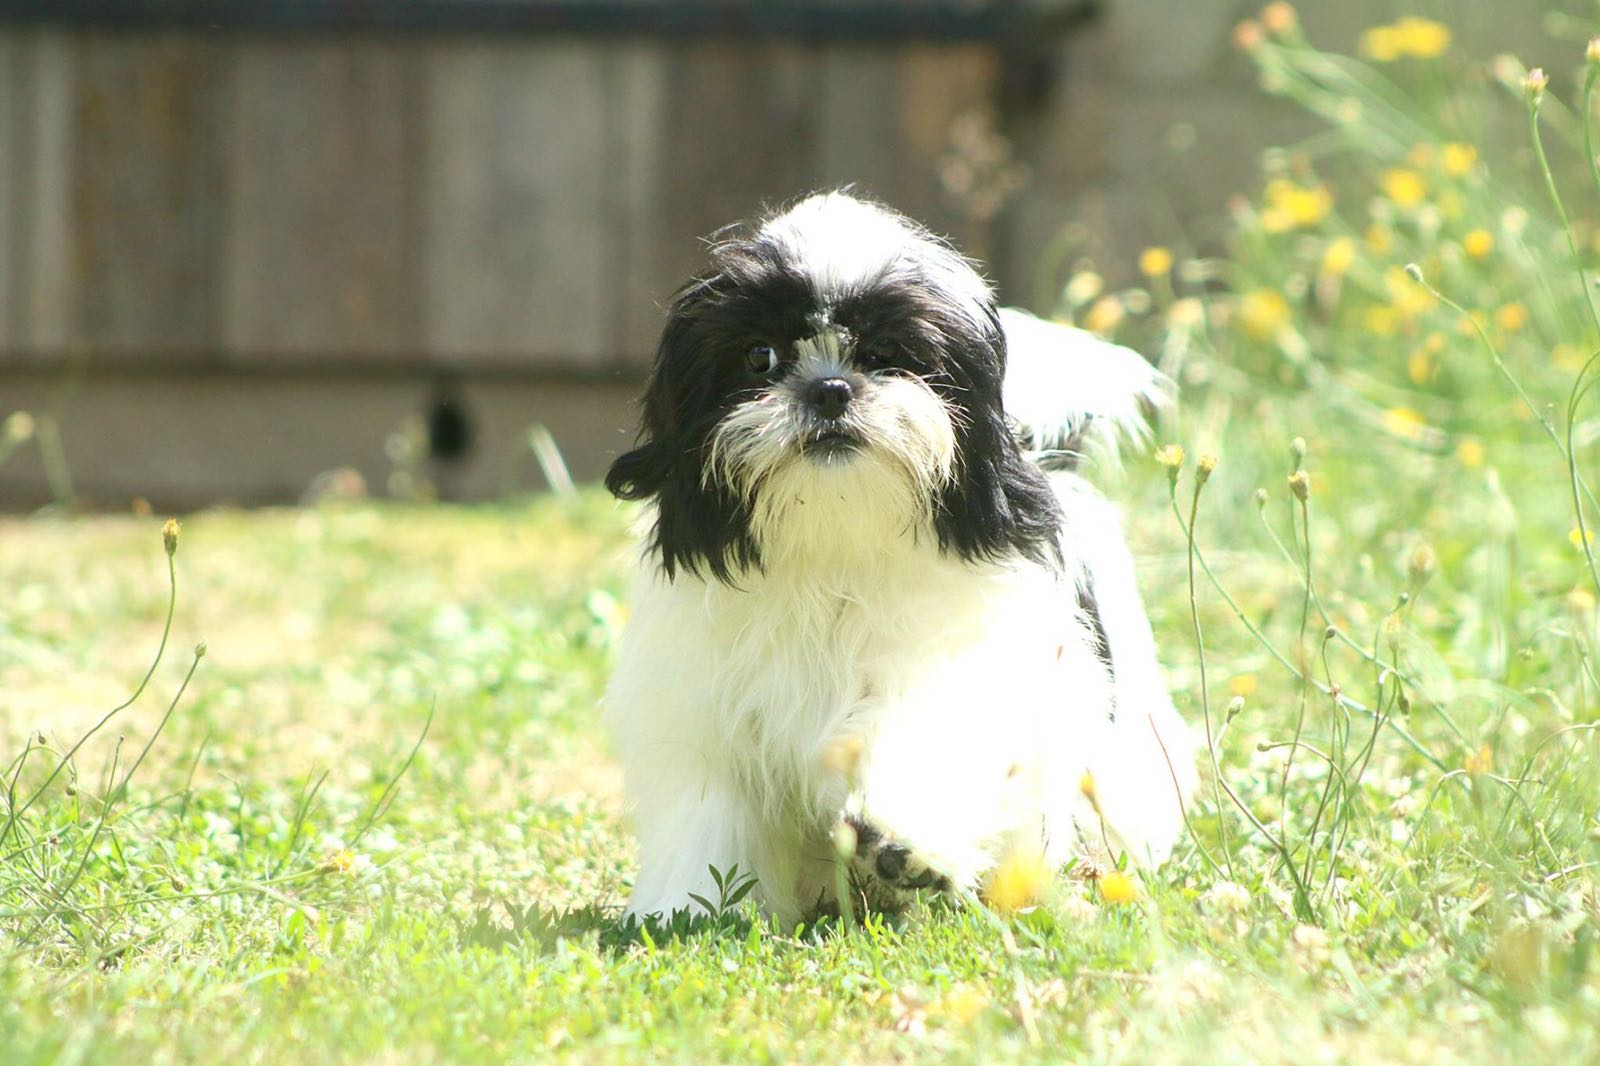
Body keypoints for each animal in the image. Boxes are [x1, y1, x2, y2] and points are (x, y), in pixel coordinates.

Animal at [604, 191, 1196, 921]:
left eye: (888, 352)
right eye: (760, 358)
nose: (829, 389)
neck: (835, 544)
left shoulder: (968, 655)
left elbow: (929, 727)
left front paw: (905, 840)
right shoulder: (700, 702)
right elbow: (707, 808)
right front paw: (691, 908)